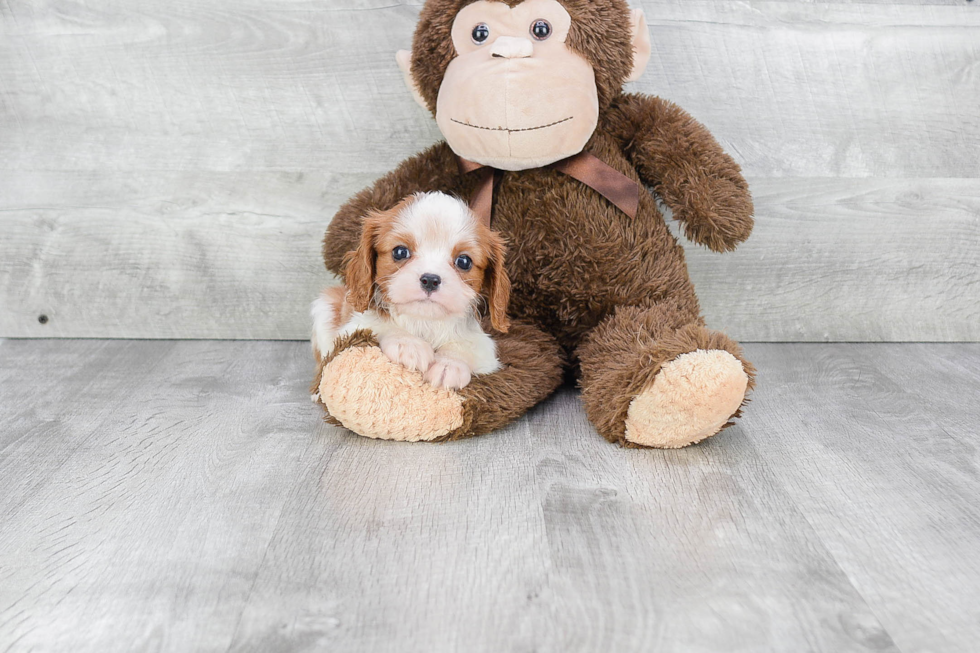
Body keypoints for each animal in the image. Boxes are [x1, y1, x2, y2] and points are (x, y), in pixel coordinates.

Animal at [312, 191, 512, 390]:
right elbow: (379, 326)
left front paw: (449, 364)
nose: (430, 280)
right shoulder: (354, 325)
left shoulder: (484, 348)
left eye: (464, 261)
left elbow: (466, 346)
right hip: (324, 306)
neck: (424, 320)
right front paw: (408, 343)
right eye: (400, 252)